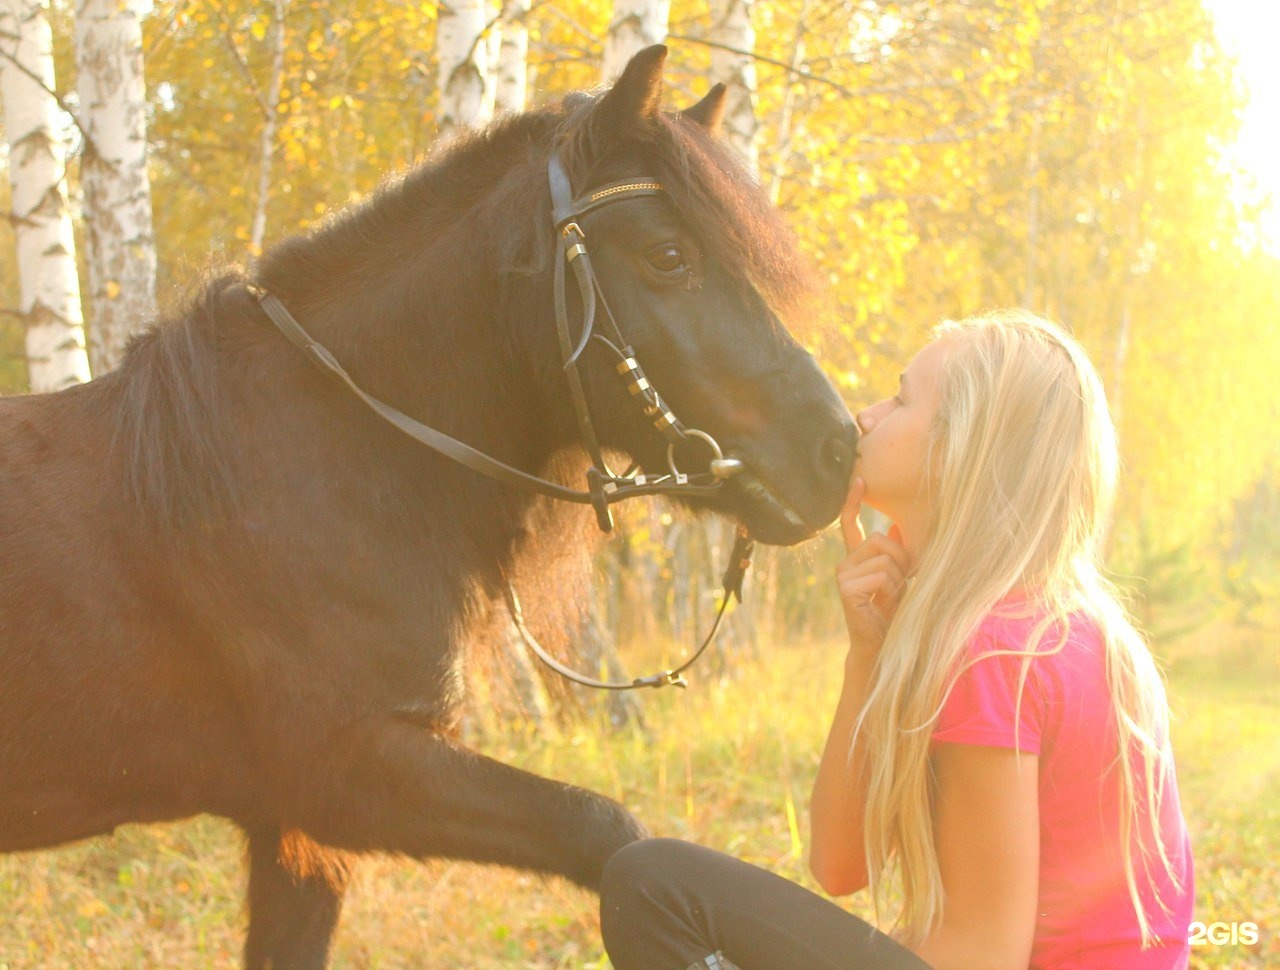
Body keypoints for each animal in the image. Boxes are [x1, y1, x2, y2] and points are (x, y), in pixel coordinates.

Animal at [2, 49, 860, 967]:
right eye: (668, 254)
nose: (837, 451)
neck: (317, 459)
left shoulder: (295, 831)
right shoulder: (353, 773)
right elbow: (610, 832)